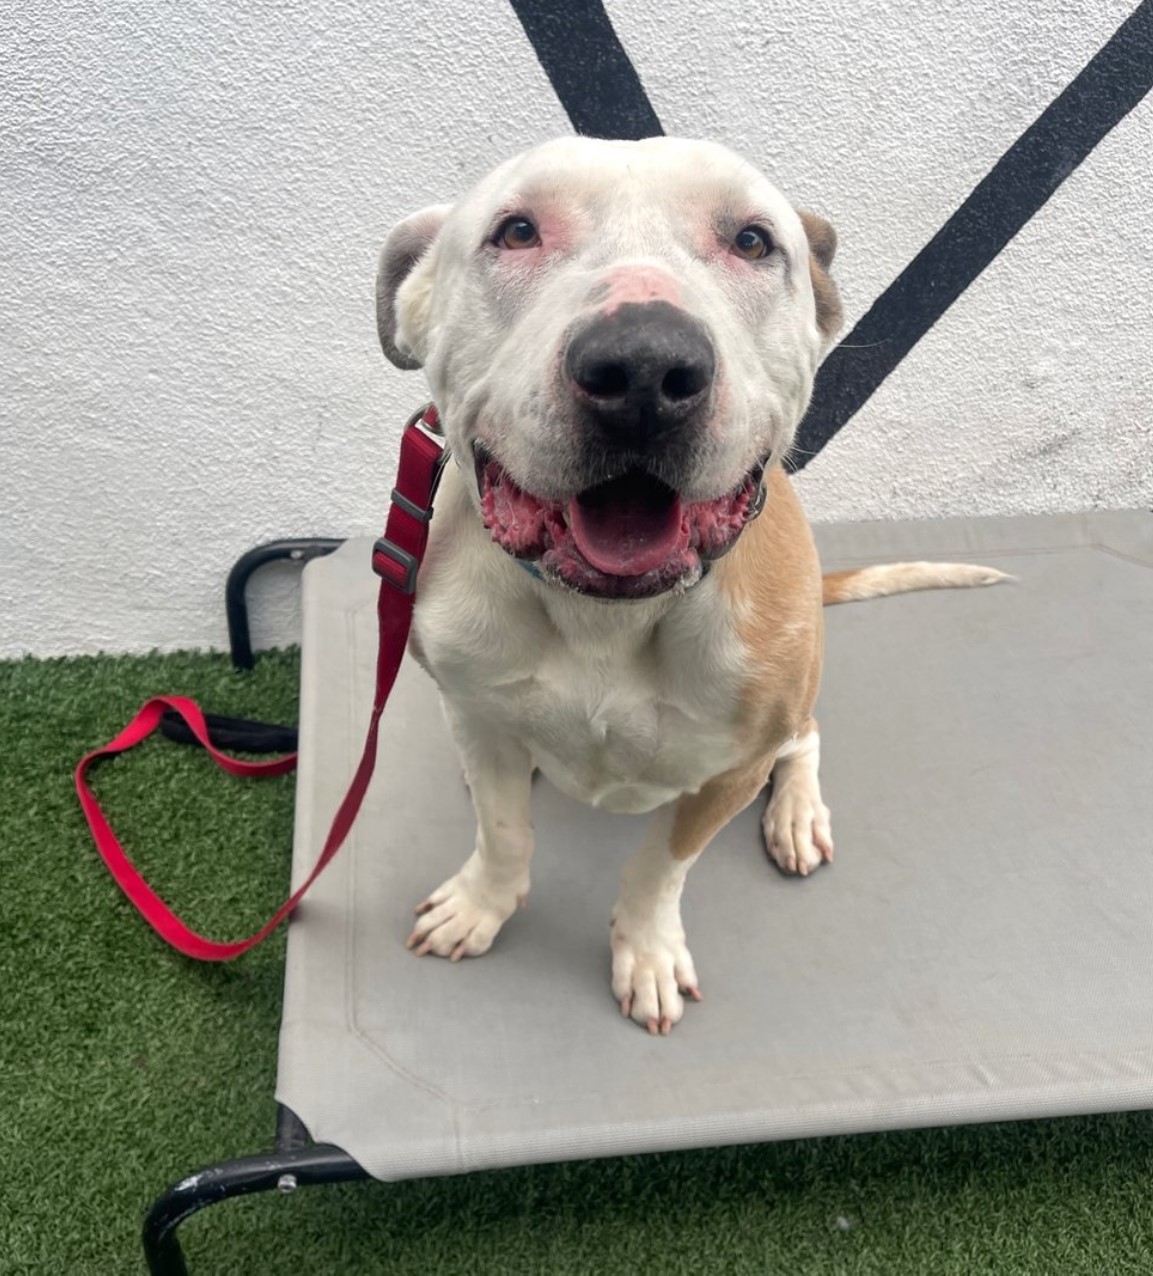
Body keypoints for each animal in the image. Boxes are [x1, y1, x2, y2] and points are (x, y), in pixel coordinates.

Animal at [374, 137, 1005, 1036]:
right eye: (516, 230)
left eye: (751, 241)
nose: (643, 367)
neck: (603, 615)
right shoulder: (475, 712)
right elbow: (503, 832)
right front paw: (483, 904)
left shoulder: (730, 769)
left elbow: (658, 868)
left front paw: (644, 952)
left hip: (794, 697)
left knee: (806, 737)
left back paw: (795, 813)